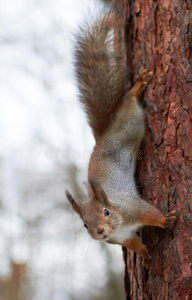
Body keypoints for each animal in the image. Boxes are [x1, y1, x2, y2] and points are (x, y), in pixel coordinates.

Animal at [66, 6, 177, 268]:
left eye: (106, 212)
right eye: (84, 224)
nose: (100, 232)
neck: (118, 223)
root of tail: (104, 133)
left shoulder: (133, 208)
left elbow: (150, 212)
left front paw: (165, 219)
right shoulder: (122, 239)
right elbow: (134, 244)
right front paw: (145, 256)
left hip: (132, 124)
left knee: (130, 104)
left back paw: (136, 88)